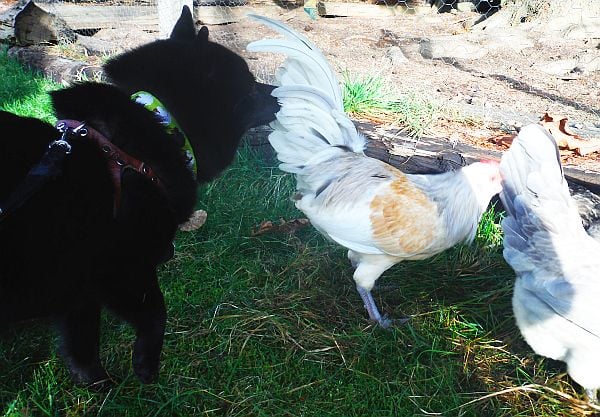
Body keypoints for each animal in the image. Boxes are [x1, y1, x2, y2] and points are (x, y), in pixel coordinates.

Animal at [0, 6, 279, 385]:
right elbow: (156, 314)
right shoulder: (124, 269)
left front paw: (101, 386)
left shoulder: (80, 290)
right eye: (250, 88)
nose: (279, 95)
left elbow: (83, 346)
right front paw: (146, 367)